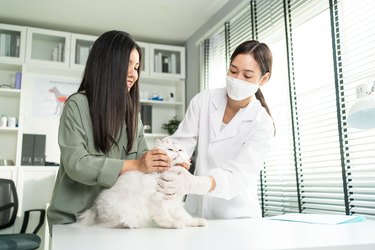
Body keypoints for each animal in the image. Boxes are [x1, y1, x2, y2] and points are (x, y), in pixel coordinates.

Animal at [76, 138, 207, 229]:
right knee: (111, 223)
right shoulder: (157, 202)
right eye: (170, 150)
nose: (176, 151)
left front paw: (198, 222)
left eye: (180, 150)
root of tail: (96, 208)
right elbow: (166, 218)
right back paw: (128, 224)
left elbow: (187, 217)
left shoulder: (175, 205)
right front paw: (176, 224)